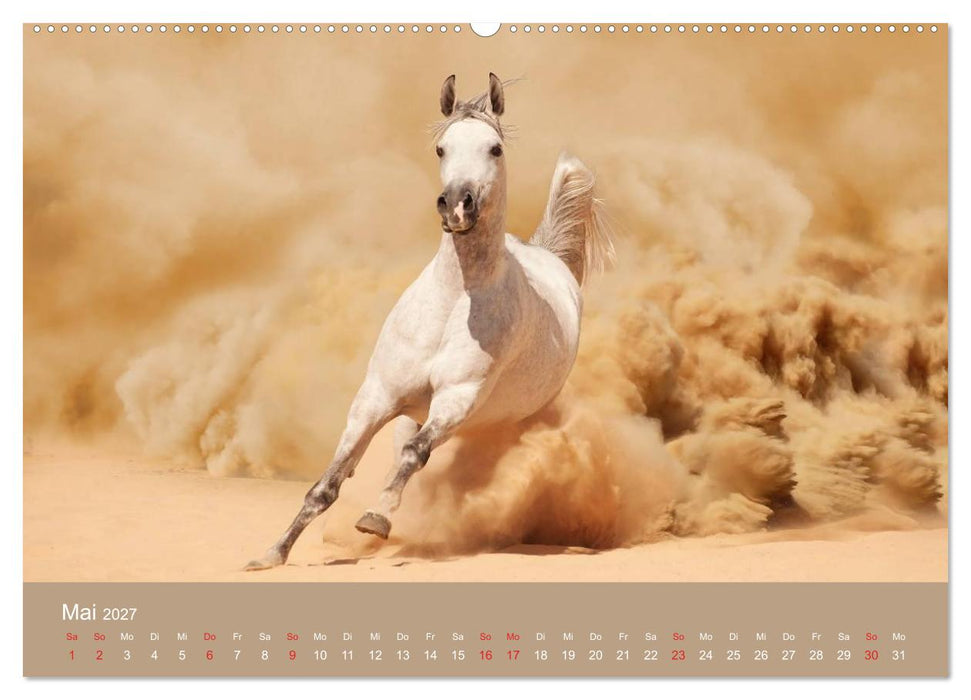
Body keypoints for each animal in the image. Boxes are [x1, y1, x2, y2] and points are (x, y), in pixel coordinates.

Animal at [245, 73, 614, 570]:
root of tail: (548, 255)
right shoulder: (376, 397)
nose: (457, 204)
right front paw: (272, 553)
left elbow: (414, 454)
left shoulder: (456, 399)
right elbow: (329, 483)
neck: (453, 304)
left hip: (505, 418)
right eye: (442, 148)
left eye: (495, 148)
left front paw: (375, 519)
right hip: (412, 410)